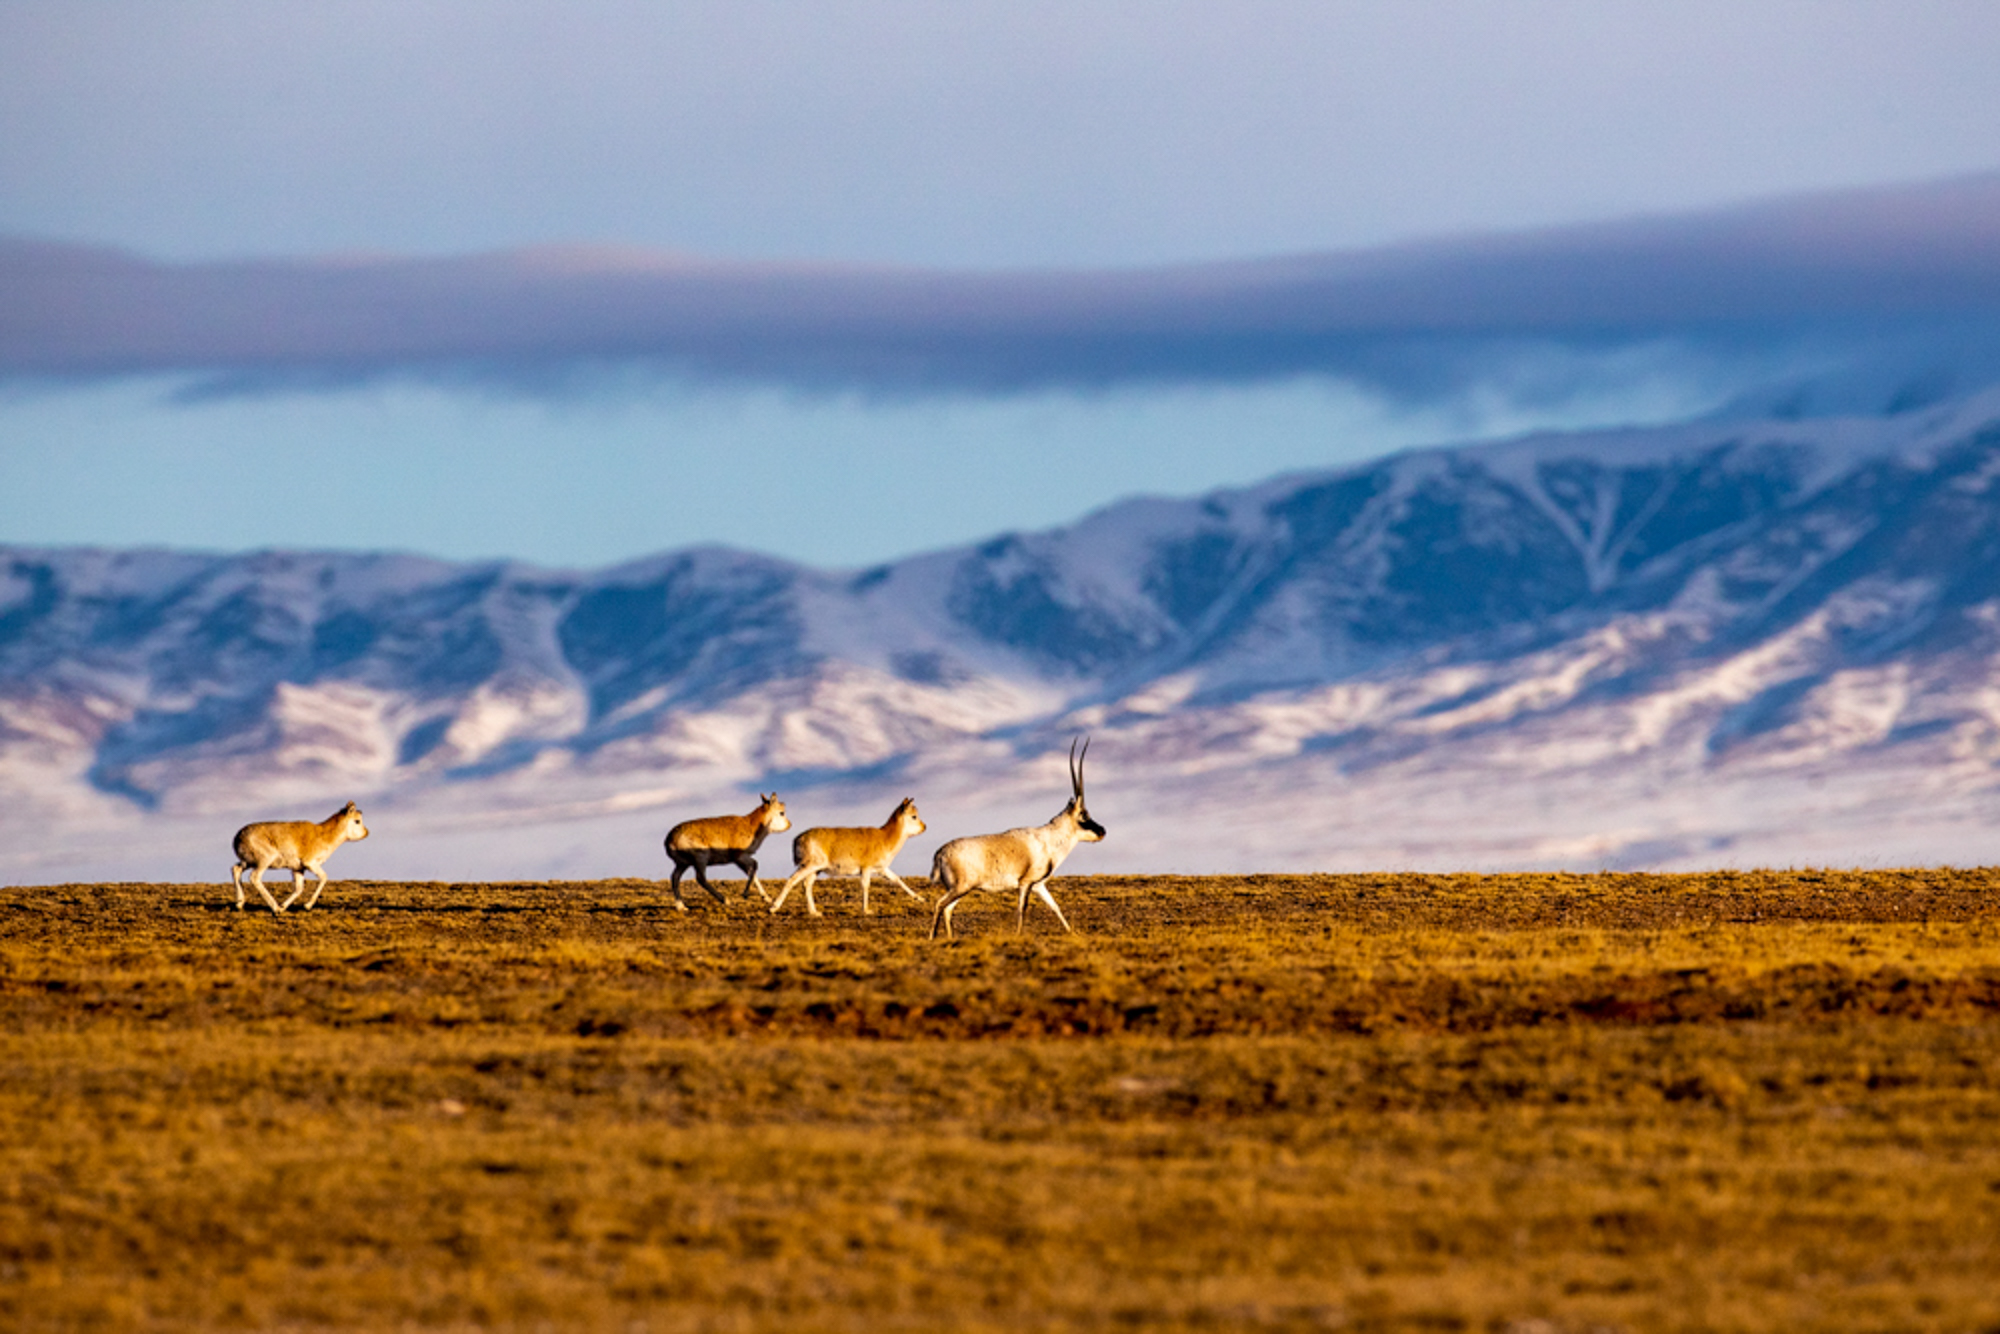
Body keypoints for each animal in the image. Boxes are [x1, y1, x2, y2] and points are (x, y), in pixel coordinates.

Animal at [234, 804, 376, 920]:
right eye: (357, 821)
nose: (366, 833)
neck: (323, 835)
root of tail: (238, 837)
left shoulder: (298, 869)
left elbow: (299, 889)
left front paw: (283, 907)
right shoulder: (311, 864)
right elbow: (324, 877)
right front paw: (307, 906)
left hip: (248, 863)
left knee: (236, 870)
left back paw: (240, 904)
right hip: (263, 862)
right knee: (254, 877)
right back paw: (275, 908)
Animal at [660, 800, 792, 912]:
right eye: (781, 812)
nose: (789, 825)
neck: (750, 824)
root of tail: (670, 838)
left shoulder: (741, 860)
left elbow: (752, 871)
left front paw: (767, 898)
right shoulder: (739, 858)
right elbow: (755, 865)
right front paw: (746, 894)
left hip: (683, 864)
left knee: (675, 877)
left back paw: (682, 907)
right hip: (700, 860)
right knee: (700, 878)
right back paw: (726, 900)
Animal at [768, 792, 932, 920]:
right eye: (914, 816)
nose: (925, 827)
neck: (885, 837)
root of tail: (798, 838)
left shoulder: (882, 870)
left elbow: (898, 880)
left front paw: (921, 898)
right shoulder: (866, 869)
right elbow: (866, 886)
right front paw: (866, 910)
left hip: (815, 870)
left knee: (806, 885)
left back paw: (814, 912)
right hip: (810, 866)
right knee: (792, 880)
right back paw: (773, 907)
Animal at [924, 736, 1104, 944]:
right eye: (1083, 815)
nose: (1102, 831)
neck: (1049, 839)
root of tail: (940, 853)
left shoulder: (1039, 886)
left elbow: (1055, 906)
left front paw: (1071, 932)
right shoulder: (1025, 883)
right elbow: (1021, 909)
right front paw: (1018, 935)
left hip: (960, 889)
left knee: (947, 909)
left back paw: (950, 938)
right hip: (960, 887)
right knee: (940, 904)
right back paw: (932, 938)